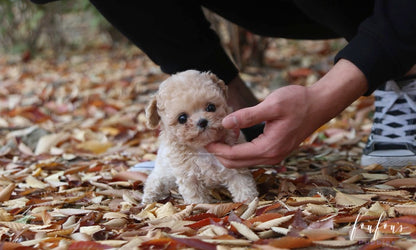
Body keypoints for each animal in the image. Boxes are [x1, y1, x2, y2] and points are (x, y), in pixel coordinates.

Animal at [142, 69, 256, 204]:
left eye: (211, 107)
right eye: (182, 118)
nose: (202, 122)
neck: (203, 147)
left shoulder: (235, 167)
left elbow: (243, 184)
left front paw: (249, 201)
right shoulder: (189, 177)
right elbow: (196, 198)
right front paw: (200, 207)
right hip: (164, 171)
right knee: (154, 181)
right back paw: (148, 199)